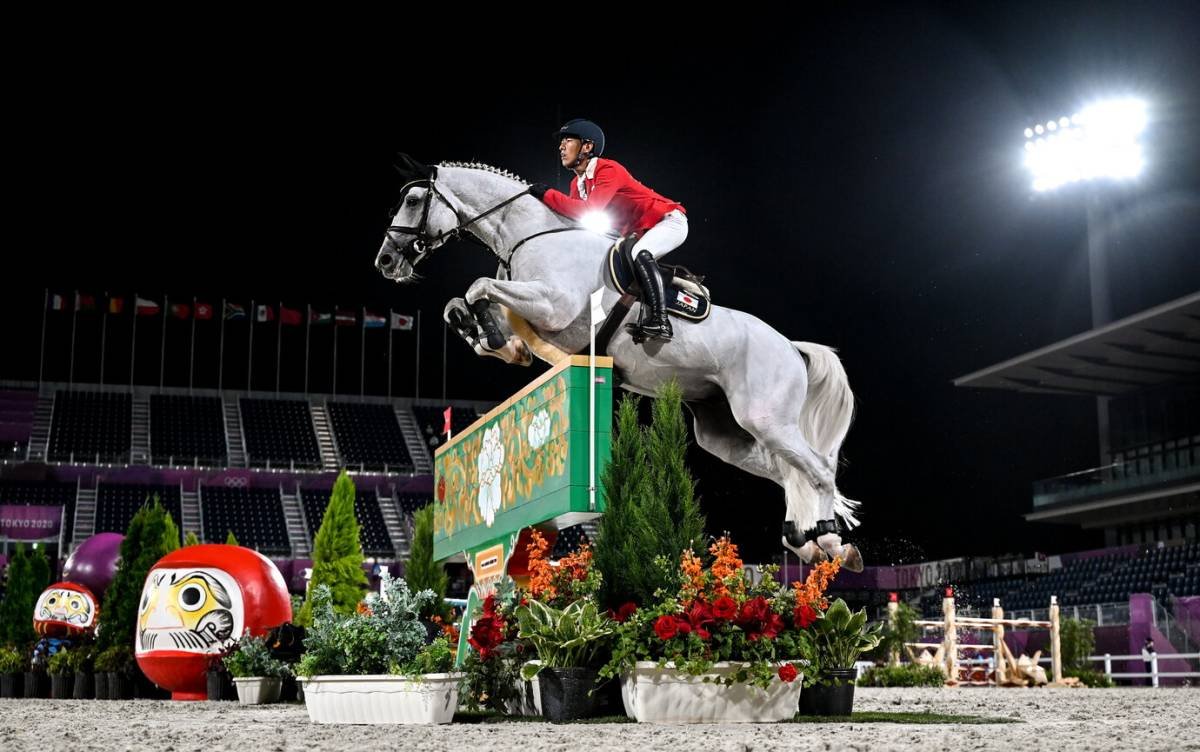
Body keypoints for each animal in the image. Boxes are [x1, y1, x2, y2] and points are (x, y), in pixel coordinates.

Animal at [374, 154, 864, 570]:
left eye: (413, 201)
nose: (386, 260)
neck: (526, 236)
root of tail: (791, 347)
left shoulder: (552, 305)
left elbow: (477, 287)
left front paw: (484, 327)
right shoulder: (531, 317)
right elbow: (470, 310)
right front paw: (484, 334)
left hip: (764, 416)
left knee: (818, 470)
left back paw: (829, 540)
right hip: (723, 432)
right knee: (788, 471)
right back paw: (809, 541)